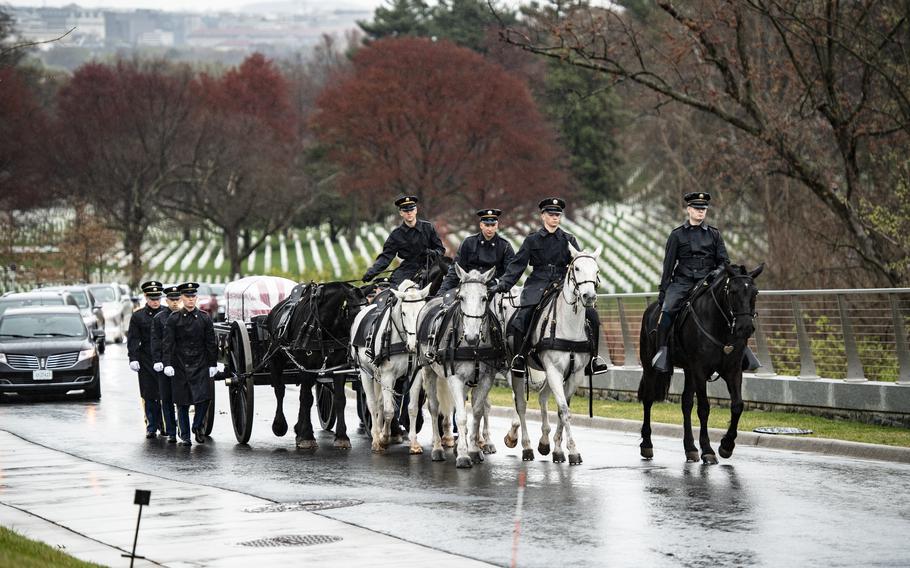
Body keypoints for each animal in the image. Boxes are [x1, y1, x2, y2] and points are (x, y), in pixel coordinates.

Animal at [266, 282, 366, 450]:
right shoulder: (307, 367)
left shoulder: (339, 367)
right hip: (276, 359)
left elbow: (340, 399)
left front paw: (342, 436)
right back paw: (280, 425)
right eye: (355, 313)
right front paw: (306, 436)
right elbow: (307, 399)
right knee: (280, 391)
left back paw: (298, 429)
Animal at [350, 280, 432, 452]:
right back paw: (376, 437)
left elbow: (412, 408)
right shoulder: (388, 375)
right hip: (366, 373)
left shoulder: (415, 375)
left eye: (421, 311)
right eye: (404, 313)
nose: (414, 345)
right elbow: (389, 411)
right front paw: (384, 438)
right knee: (373, 405)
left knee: (380, 403)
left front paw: (414, 443)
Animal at [418, 266, 502, 466]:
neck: (473, 348)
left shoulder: (486, 379)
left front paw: (473, 450)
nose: (471, 337)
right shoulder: (455, 378)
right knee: (434, 408)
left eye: (484, 298)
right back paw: (438, 449)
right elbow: (462, 416)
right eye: (461, 297)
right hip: (428, 370)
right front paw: (464, 455)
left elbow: (477, 413)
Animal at [502, 246, 604, 464]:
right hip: (517, 369)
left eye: (597, 270)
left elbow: (561, 409)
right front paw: (573, 451)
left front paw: (558, 449)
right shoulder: (554, 371)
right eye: (576, 268)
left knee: (541, 397)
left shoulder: (574, 374)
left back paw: (543, 442)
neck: (569, 325)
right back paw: (526, 446)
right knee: (521, 404)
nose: (589, 296)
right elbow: (564, 410)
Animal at [640, 264, 764, 464]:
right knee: (648, 400)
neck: (720, 325)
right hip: (650, 367)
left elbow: (737, 405)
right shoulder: (700, 370)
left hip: (689, 371)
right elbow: (704, 408)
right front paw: (708, 449)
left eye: (755, 292)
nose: (745, 327)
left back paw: (690, 448)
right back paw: (647, 445)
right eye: (733, 291)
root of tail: (651, 310)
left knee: (686, 403)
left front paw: (726, 445)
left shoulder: (733, 370)